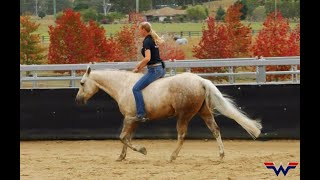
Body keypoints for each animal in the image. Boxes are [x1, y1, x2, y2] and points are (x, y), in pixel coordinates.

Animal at [75, 66, 262, 162]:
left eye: (82, 83)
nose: (77, 99)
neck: (124, 85)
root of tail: (201, 81)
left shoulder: (129, 118)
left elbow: (122, 137)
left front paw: (142, 150)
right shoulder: (133, 120)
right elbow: (126, 138)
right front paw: (121, 156)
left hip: (183, 116)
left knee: (182, 135)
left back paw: (172, 156)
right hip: (204, 113)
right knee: (215, 131)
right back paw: (221, 155)